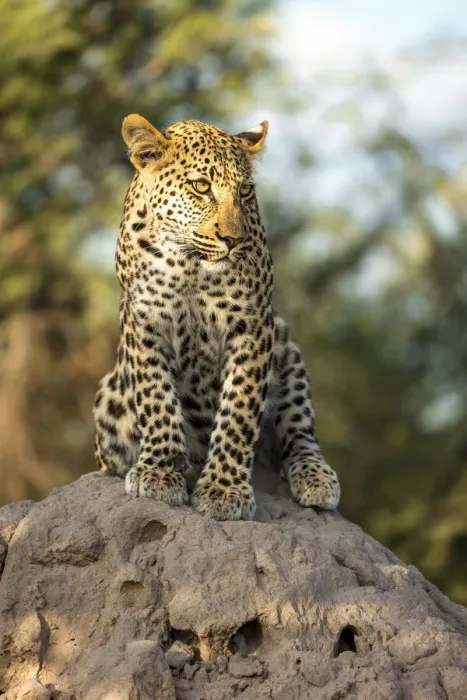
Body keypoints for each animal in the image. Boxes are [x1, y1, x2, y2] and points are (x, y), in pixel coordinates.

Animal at [93, 113, 340, 521]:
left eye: (245, 192)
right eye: (201, 187)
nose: (233, 239)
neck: (189, 263)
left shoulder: (253, 327)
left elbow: (239, 410)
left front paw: (224, 490)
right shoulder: (143, 322)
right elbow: (156, 398)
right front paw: (159, 473)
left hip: (288, 352)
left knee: (299, 429)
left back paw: (316, 478)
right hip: (108, 401)